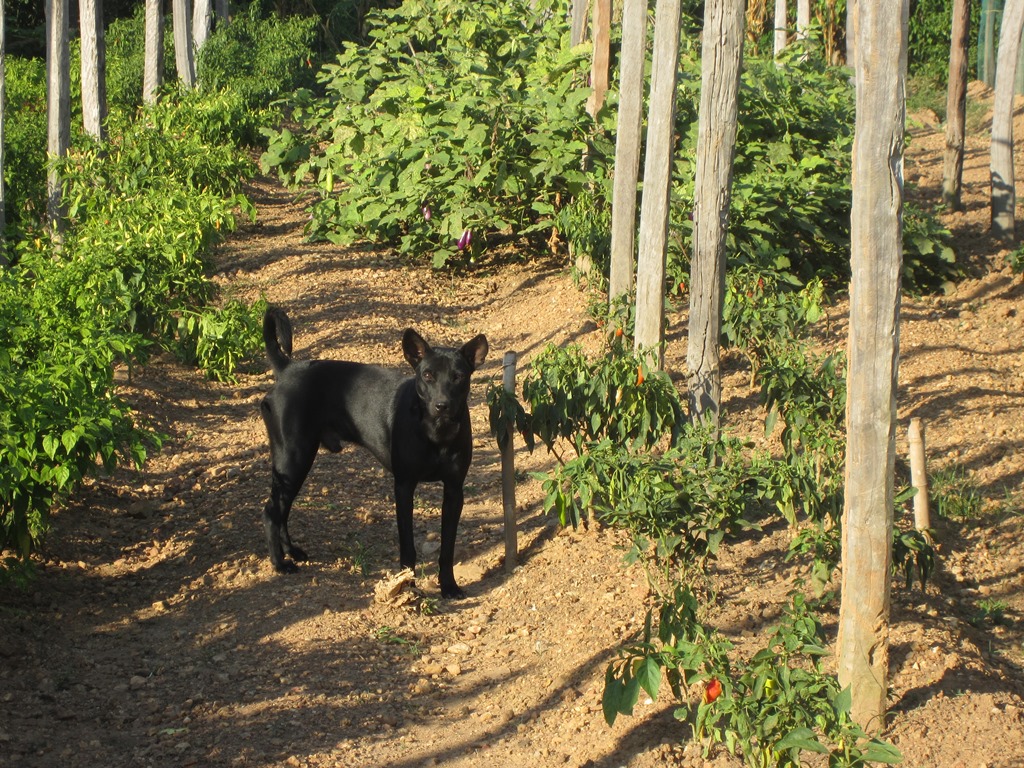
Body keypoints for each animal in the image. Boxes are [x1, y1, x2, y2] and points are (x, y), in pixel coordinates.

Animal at [262, 309, 489, 598]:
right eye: (427, 375)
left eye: (459, 376)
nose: (442, 405)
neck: (436, 432)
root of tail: (287, 369)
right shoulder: (403, 486)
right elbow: (408, 547)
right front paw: (406, 585)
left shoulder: (454, 489)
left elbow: (447, 547)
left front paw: (448, 585)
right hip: (293, 458)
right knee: (272, 511)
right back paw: (279, 563)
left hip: (296, 463)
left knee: (283, 509)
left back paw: (292, 552)